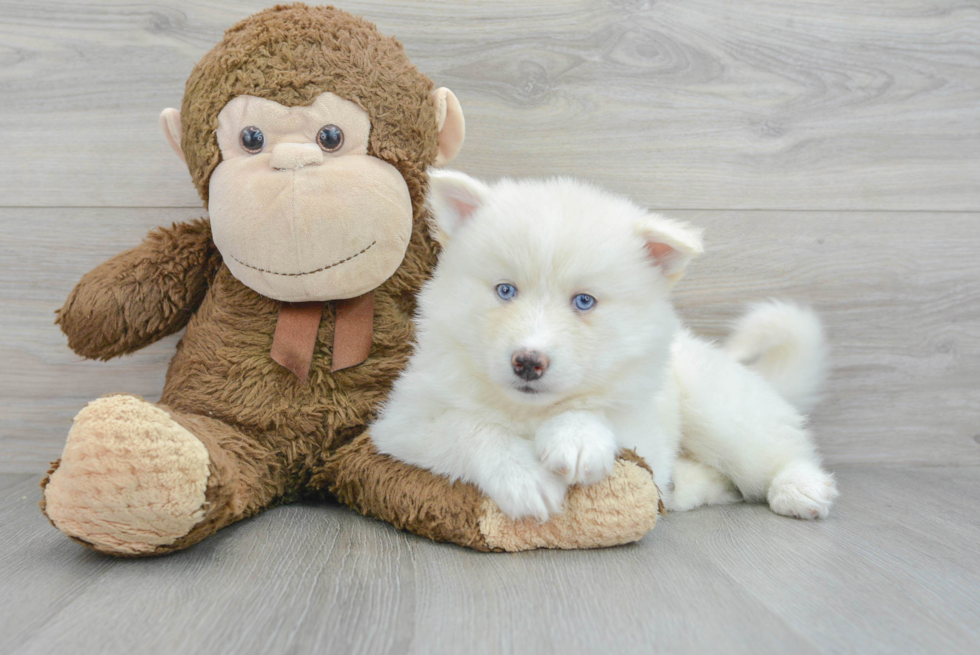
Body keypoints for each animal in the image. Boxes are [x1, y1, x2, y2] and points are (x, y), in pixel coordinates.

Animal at [372, 170, 840, 524]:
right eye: (505, 290)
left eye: (584, 301)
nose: (528, 362)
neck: (529, 411)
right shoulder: (400, 423)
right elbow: (470, 428)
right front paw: (525, 476)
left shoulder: (644, 432)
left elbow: (599, 409)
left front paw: (576, 437)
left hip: (719, 411)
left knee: (781, 449)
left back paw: (800, 486)